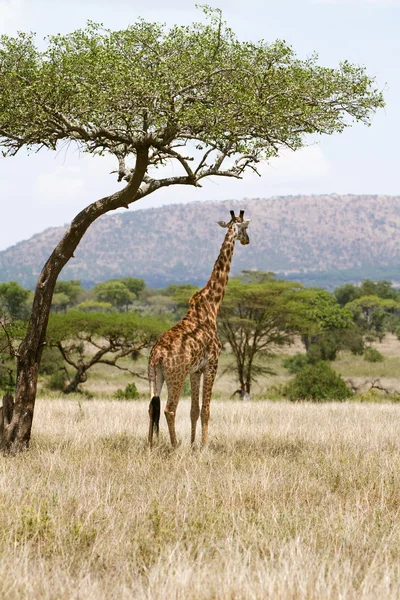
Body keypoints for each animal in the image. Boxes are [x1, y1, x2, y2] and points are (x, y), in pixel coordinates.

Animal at [148, 209, 252, 448]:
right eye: (245, 227)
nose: (247, 240)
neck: (212, 305)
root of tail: (157, 354)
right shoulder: (212, 362)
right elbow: (205, 410)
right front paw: (204, 447)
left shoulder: (196, 370)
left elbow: (194, 410)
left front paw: (194, 445)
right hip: (176, 376)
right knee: (169, 409)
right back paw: (174, 446)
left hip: (153, 376)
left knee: (151, 408)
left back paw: (150, 446)